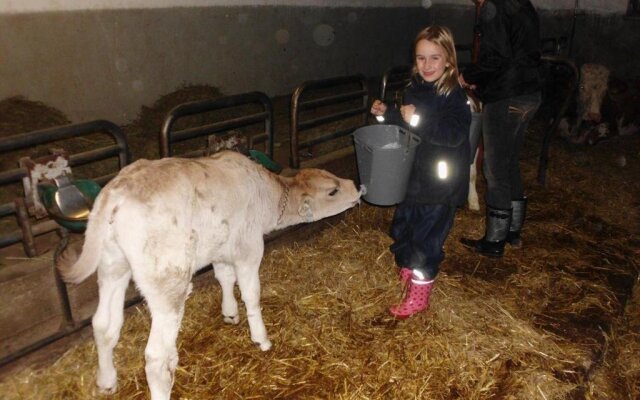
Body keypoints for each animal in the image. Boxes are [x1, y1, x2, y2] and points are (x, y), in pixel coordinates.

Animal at [57, 151, 362, 400]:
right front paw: (261, 338)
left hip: (112, 266)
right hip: (167, 282)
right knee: (157, 359)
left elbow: (224, 277)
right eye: (333, 191)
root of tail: (116, 192)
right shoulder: (249, 247)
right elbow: (251, 294)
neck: (267, 195)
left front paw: (229, 313)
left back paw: (106, 381)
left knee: (103, 325)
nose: (356, 186)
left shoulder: (222, 247)